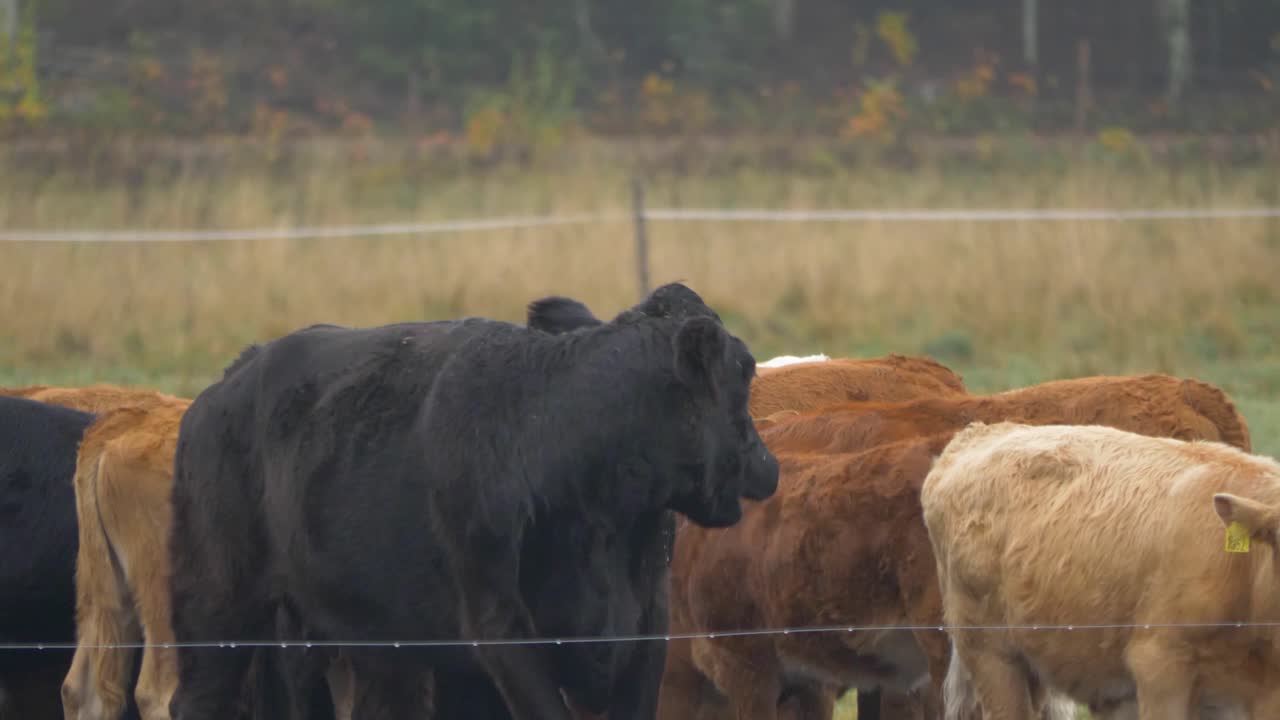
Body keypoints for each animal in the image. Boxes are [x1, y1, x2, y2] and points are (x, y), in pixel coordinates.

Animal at [165, 282, 779, 720]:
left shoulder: (646, 621)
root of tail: (229, 379)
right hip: (215, 605)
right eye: (746, 368)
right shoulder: (498, 625)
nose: (767, 463)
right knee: (199, 700)